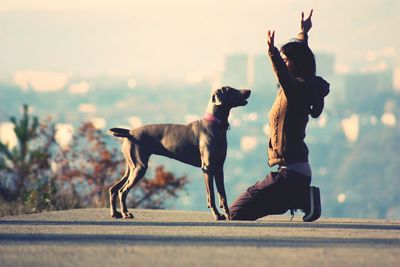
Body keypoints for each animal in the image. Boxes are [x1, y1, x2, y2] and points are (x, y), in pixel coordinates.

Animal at [107, 87, 250, 221]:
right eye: (229, 89)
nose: (249, 91)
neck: (214, 125)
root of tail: (129, 132)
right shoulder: (207, 168)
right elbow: (212, 196)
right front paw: (217, 215)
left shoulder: (219, 168)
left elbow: (223, 195)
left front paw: (228, 215)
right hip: (139, 168)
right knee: (122, 191)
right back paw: (126, 213)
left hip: (131, 167)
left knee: (114, 189)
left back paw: (115, 213)